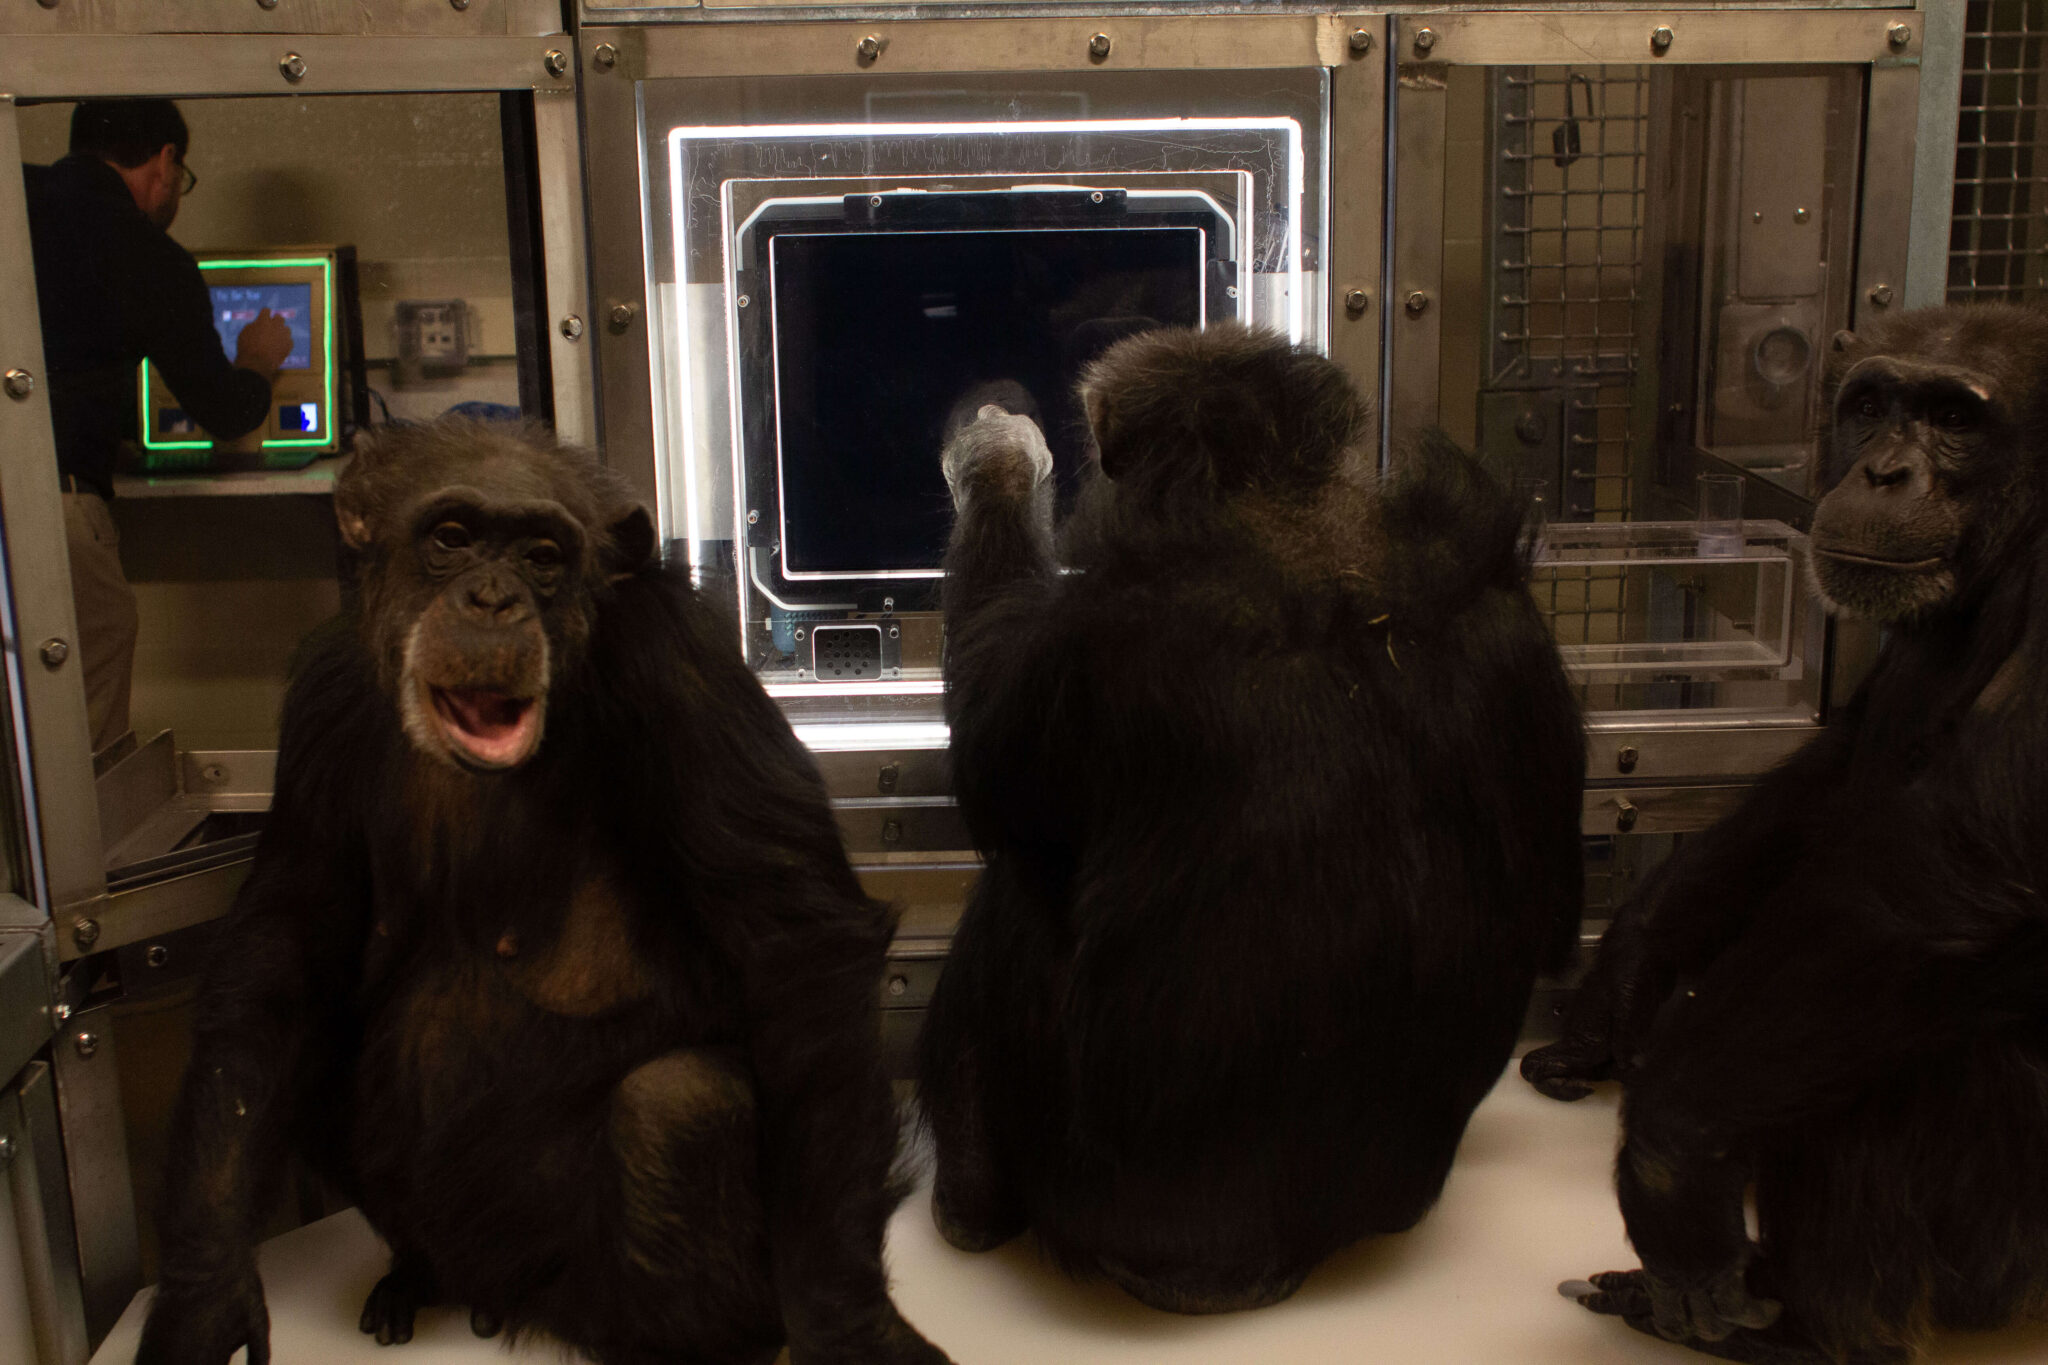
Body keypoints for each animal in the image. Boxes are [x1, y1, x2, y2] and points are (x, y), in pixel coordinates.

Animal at [136, 419, 950, 1365]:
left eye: (543, 555)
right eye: (451, 537)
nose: (493, 599)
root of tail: (519, 1298)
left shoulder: (678, 664)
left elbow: (797, 939)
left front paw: (846, 1320)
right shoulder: (320, 700)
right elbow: (286, 946)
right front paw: (202, 1295)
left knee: (676, 1107)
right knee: (310, 1053)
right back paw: (416, 1274)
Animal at [921, 323, 1589, 1309]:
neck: (1301, 524)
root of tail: (1249, 1273)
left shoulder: (1075, 646)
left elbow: (985, 731)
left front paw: (996, 453)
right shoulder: (1517, 623)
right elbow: (1559, 916)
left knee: (1012, 898)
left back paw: (965, 1198)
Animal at [1523, 300, 2048, 1365]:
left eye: (1957, 417)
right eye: (1873, 403)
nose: (1885, 470)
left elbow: (1950, 880)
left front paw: (1670, 1160)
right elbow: (1835, 772)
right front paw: (1617, 983)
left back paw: (1808, 1325)